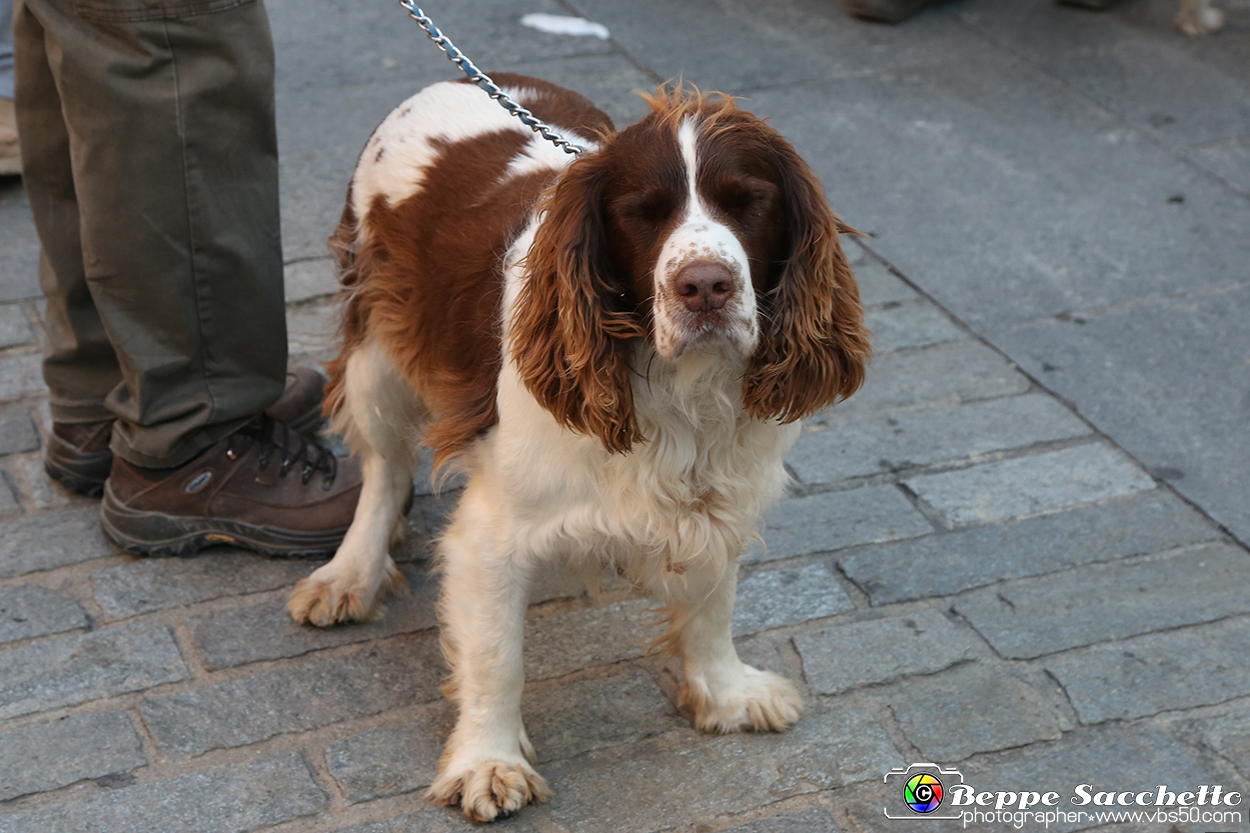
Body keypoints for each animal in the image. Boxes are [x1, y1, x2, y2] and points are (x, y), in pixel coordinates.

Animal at [290, 74, 870, 820]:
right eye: (641, 214)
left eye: (750, 202)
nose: (706, 286)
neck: (681, 389)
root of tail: (451, 78)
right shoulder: (492, 533)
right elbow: (497, 654)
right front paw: (488, 762)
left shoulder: (724, 488)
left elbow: (714, 601)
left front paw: (725, 692)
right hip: (378, 348)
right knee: (384, 471)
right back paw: (351, 573)